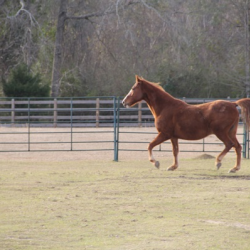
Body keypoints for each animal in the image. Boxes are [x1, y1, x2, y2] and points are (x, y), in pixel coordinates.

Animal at [122, 74, 250, 172]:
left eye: (133, 88)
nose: (124, 102)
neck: (165, 107)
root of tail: (233, 104)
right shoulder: (173, 136)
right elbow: (175, 151)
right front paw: (173, 167)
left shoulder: (164, 134)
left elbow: (150, 145)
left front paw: (156, 163)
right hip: (231, 132)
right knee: (238, 147)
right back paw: (234, 168)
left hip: (221, 132)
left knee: (229, 144)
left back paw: (218, 162)